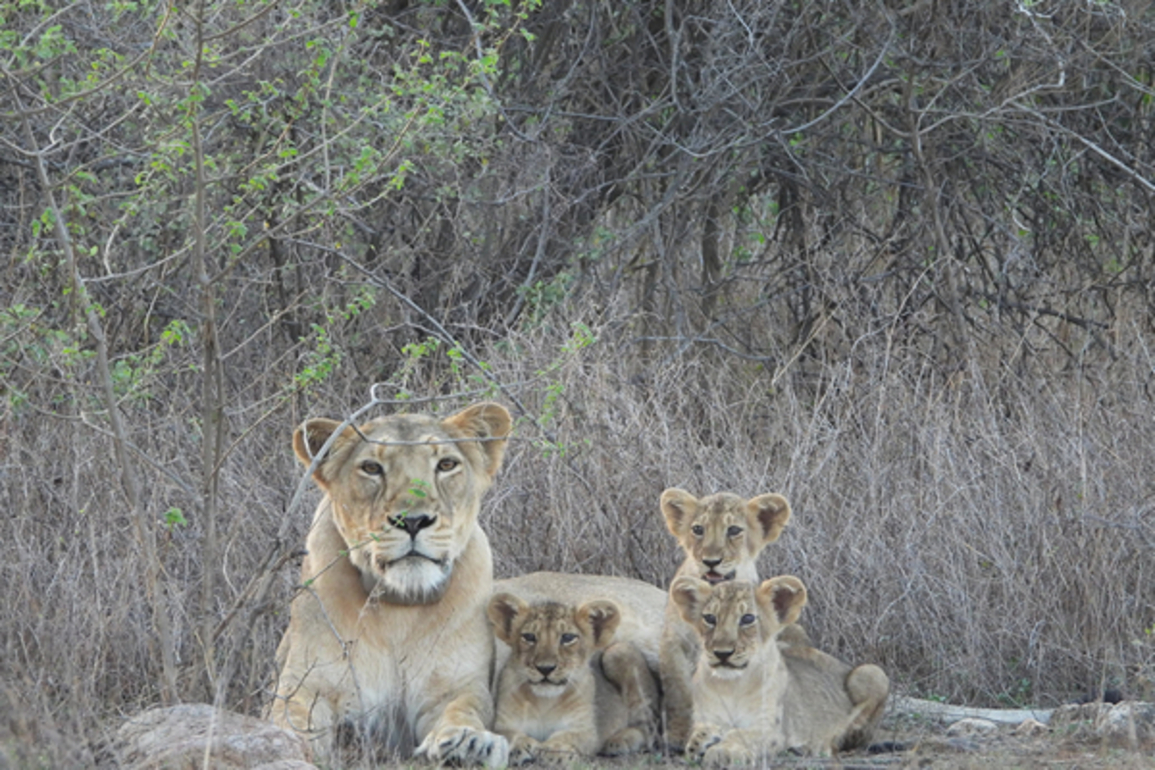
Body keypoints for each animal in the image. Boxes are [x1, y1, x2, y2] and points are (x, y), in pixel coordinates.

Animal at [267, 402, 513, 767]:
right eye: (371, 468)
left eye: (446, 464)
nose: (412, 521)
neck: (400, 607)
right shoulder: (308, 684)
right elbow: (289, 718)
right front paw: (284, 745)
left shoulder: (455, 686)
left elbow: (463, 710)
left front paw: (468, 744)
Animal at [486, 593, 659, 764]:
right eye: (529, 637)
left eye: (567, 637)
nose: (545, 668)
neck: (544, 702)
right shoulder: (502, 722)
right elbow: (506, 734)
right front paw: (519, 746)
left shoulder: (585, 730)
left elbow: (569, 736)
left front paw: (555, 751)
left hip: (617, 651)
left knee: (649, 727)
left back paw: (621, 740)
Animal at [658, 488, 796, 749]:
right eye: (698, 529)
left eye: (733, 530)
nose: (710, 561)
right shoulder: (673, 642)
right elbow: (680, 689)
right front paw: (681, 734)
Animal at [670, 576, 889, 765]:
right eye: (709, 618)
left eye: (747, 618)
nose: (722, 653)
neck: (731, 685)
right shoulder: (706, 716)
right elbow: (701, 730)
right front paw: (701, 741)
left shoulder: (771, 729)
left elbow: (742, 734)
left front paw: (723, 751)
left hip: (872, 672)